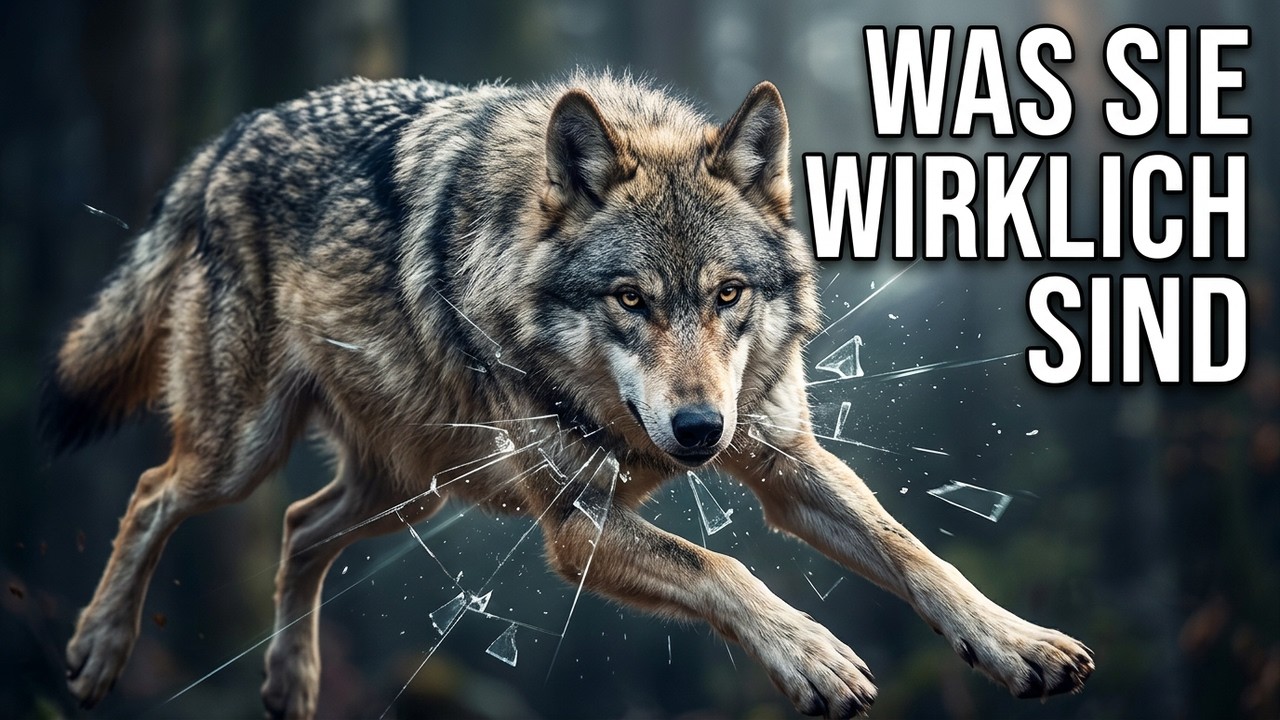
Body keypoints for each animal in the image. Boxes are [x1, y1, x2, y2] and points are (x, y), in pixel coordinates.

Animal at [43, 72, 1093, 719]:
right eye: (630, 299)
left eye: (728, 295)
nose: (699, 429)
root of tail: (226, 141)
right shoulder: (578, 526)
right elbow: (724, 568)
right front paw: (813, 654)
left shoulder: (783, 459)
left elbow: (917, 554)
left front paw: (1018, 642)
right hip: (246, 453)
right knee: (155, 492)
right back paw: (96, 651)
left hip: (412, 489)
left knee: (301, 528)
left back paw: (290, 685)